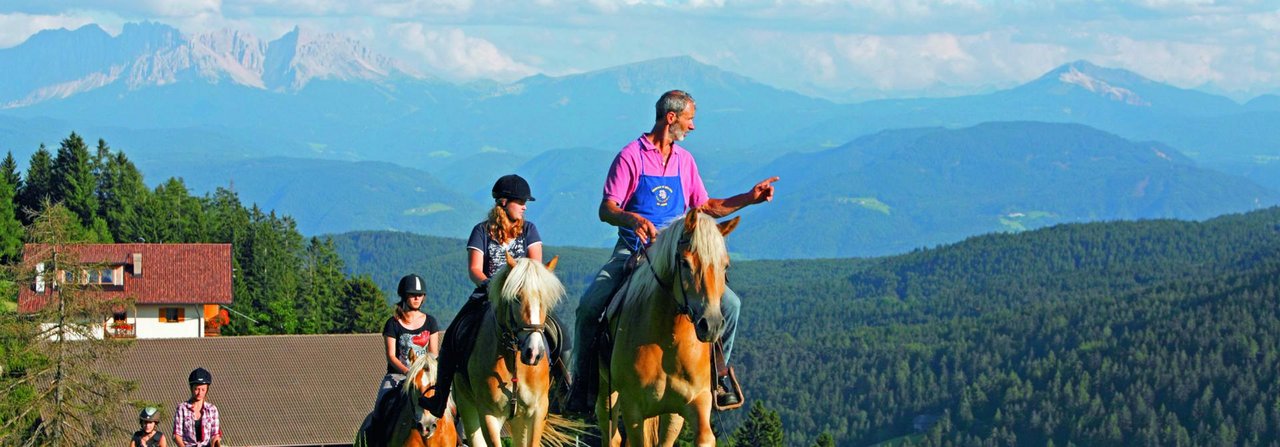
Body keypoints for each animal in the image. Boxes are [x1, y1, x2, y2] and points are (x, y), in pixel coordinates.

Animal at [448, 253, 573, 445]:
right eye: (516, 298)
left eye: (544, 300)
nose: (533, 353)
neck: (514, 360)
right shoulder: (489, 415)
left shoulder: (536, 412)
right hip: (467, 407)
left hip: (518, 420)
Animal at [599, 210, 742, 445]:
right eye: (685, 262)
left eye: (726, 266)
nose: (711, 325)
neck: (667, 340)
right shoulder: (633, 408)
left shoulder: (696, 402)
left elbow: (703, 436)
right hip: (607, 393)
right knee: (611, 434)